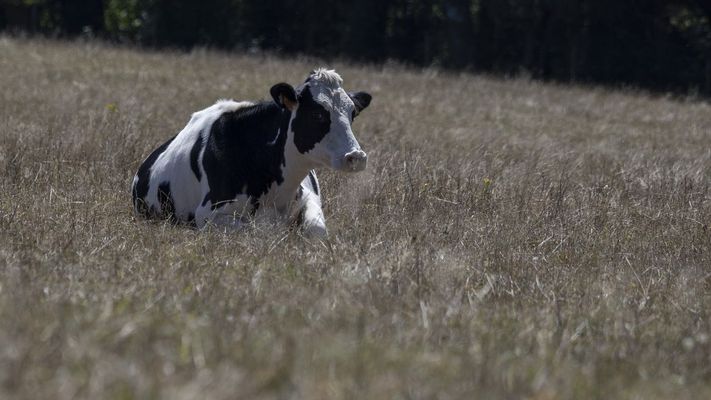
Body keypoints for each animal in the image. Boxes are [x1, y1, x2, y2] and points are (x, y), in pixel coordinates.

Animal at [130, 68, 372, 237]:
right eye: (317, 114)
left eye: (352, 113)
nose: (356, 157)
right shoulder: (208, 214)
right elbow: (260, 231)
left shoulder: (310, 199)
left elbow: (318, 231)